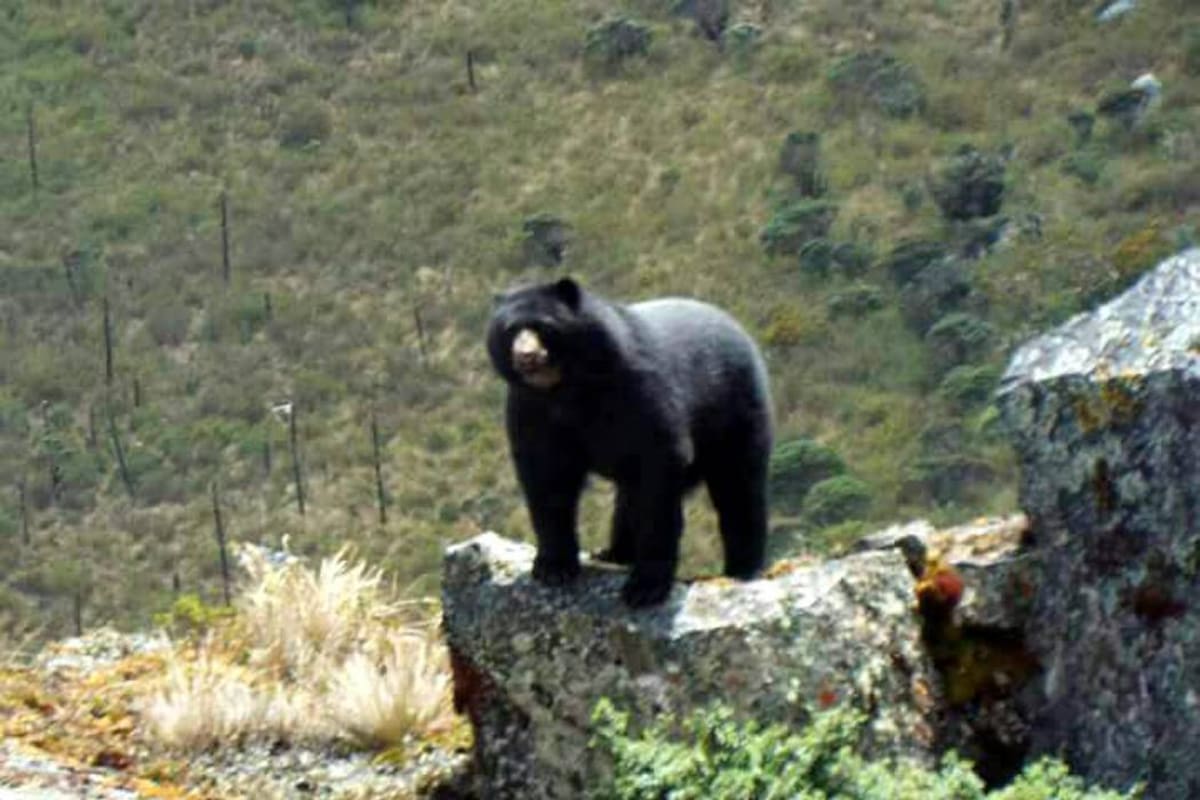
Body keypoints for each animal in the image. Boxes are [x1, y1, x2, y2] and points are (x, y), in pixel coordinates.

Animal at [486, 277, 773, 607]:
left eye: (543, 326)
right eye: (510, 330)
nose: (525, 356)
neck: (567, 387)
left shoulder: (639, 389)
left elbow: (659, 473)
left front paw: (645, 588)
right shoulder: (531, 408)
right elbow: (547, 478)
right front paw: (553, 568)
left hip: (735, 414)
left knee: (738, 488)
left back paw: (742, 569)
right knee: (628, 499)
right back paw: (613, 553)